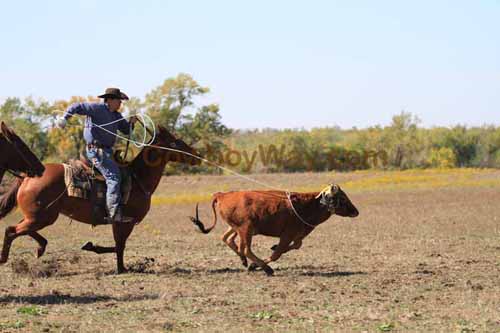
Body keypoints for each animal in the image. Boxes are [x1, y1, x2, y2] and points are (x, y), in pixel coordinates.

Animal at [0, 124, 199, 272]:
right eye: (175, 142)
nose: (196, 155)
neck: (137, 178)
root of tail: (27, 177)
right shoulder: (124, 222)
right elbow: (119, 246)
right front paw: (120, 267)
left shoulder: (118, 223)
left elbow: (118, 246)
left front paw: (95, 250)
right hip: (42, 217)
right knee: (12, 230)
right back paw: (6, 258)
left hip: (36, 217)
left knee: (20, 229)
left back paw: (40, 248)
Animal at [191, 183, 360, 274]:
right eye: (342, 198)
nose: (356, 212)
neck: (307, 206)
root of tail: (222, 195)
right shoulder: (287, 235)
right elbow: (277, 254)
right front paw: (258, 264)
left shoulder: (297, 235)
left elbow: (295, 246)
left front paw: (269, 249)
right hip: (246, 229)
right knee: (244, 248)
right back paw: (265, 268)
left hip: (238, 228)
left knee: (228, 239)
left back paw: (244, 261)